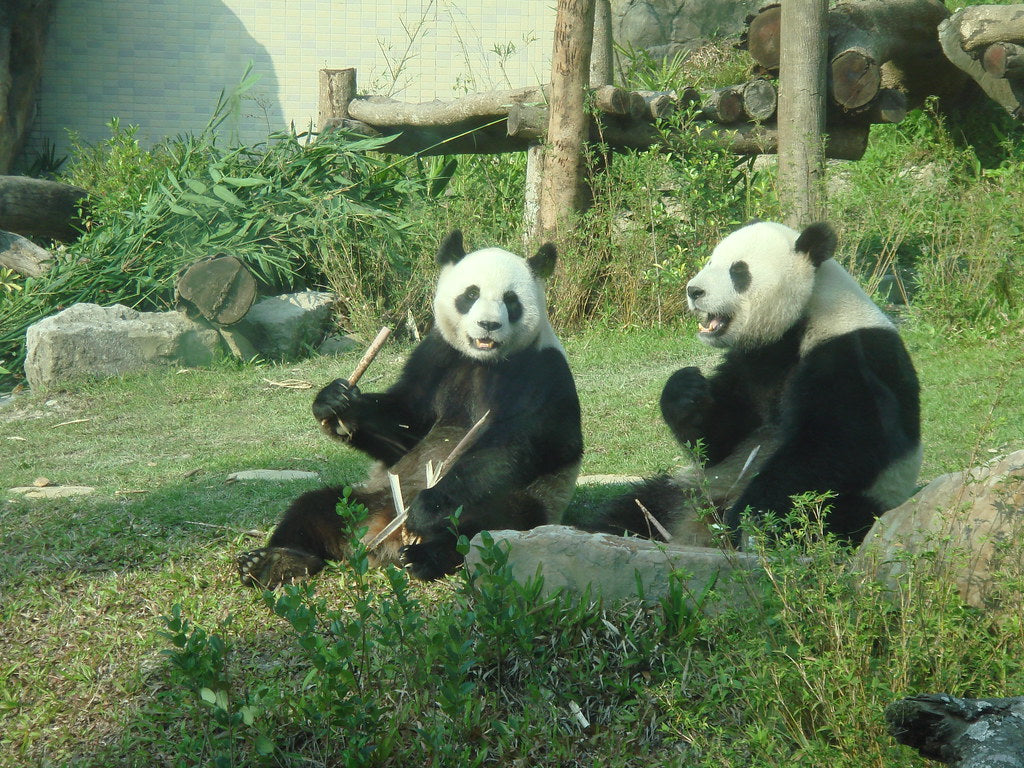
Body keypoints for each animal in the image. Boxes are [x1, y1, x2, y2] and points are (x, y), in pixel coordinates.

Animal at [238, 231, 583, 586]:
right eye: (471, 294)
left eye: (511, 301)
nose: (488, 324)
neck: (481, 360)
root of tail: (382, 536)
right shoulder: (437, 355)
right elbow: (405, 427)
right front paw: (335, 402)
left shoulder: (539, 371)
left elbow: (522, 443)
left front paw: (430, 507)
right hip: (371, 496)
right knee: (315, 507)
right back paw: (275, 561)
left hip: (525, 501)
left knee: (486, 522)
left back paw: (422, 555)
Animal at [590, 220, 921, 547]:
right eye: (710, 262)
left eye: (738, 271)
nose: (694, 291)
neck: (806, 313)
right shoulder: (751, 362)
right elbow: (720, 438)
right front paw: (687, 389)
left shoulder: (851, 354)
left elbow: (836, 446)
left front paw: (752, 517)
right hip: (688, 489)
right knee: (637, 506)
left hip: (859, 503)